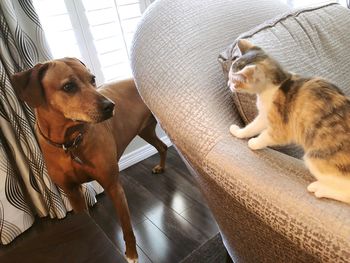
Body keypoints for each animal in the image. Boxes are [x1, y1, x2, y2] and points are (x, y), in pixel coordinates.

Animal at [11, 58, 167, 263]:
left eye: (92, 79)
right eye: (68, 86)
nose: (110, 106)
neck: (69, 142)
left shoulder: (113, 186)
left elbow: (126, 227)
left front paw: (131, 254)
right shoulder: (72, 192)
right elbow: (84, 215)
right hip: (145, 130)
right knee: (163, 147)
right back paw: (161, 167)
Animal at [227, 38, 350, 204]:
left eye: (234, 81)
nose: (228, 85)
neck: (279, 81)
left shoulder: (279, 127)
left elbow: (265, 135)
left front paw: (253, 142)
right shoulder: (264, 116)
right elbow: (252, 126)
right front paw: (239, 132)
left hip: (314, 157)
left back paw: (319, 189)